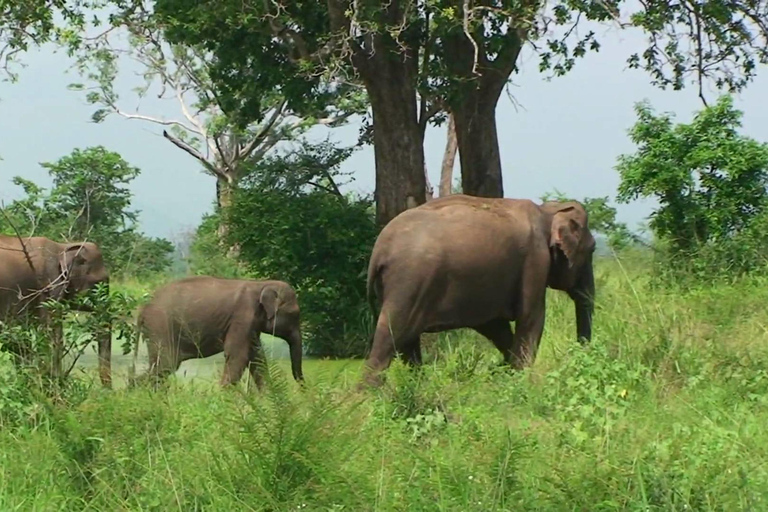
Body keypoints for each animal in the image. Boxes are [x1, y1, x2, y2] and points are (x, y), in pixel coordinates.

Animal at [0, 234, 112, 386]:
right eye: (98, 283)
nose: (108, 389)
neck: (63, 246)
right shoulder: (48, 285)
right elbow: (51, 330)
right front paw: (53, 383)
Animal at [136, 276, 304, 388]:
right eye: (294, 314)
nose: (302, 388)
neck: (261, 283)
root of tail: (143, 308)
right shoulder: (242, 317)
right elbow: (238, 356)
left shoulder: (252, 324)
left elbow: (257, 357)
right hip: (160, 326)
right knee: (165, 365)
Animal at [364, 194, 596, 386]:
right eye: (593, 249)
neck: (547, 210)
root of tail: (379, 250)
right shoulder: (535, 260)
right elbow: (531, 318)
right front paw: (522, 382)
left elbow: (495, 326)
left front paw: (508, 373)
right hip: (410, 282)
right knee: (390, 337)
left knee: (406, 343)